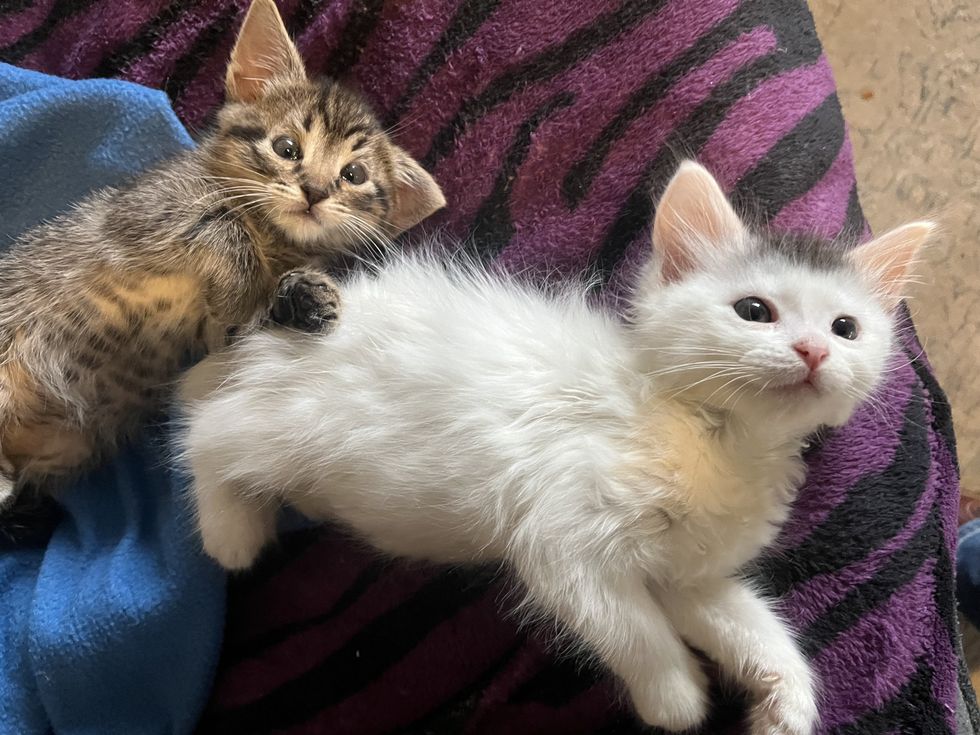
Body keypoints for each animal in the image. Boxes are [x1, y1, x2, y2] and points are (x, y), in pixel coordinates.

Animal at [0, 0, 444, 504]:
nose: (314, 192)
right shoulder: (143, 212)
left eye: (354, 175)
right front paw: (244, 279)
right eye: (286, 148)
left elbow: (245, 327)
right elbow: (223, 226)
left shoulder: (221, 337)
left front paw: (305, 294)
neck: (270, 235)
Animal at [176, 162, 936, 735]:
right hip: (290, 419)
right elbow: (632, 627)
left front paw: (785, 700)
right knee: (201, 432)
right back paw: (232, 533)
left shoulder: (688, 570)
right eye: (754, 311)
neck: (709, 431)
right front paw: (676, 698)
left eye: (845, 328)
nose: (812, 352)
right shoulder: (562, 541)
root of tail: (264, 337)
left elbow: (744, 620)